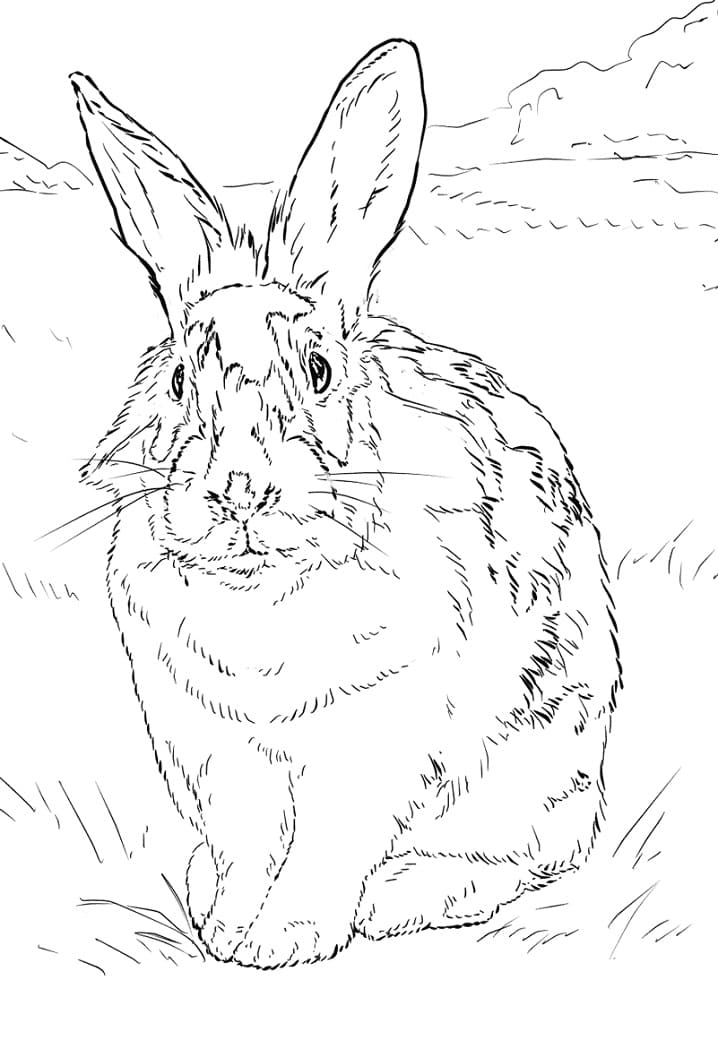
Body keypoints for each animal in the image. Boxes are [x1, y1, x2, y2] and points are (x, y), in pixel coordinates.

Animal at [71, 38, 621, 968]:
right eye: (179, 379)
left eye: (320, 369)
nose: (238, 490)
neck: (261, 595)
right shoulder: (218, 751)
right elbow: (248, 845)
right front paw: (229, 931)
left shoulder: (373, 742)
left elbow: (326, 847)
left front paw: (283, 941)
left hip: (534, 771)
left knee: (523, 857)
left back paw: (402, 899)